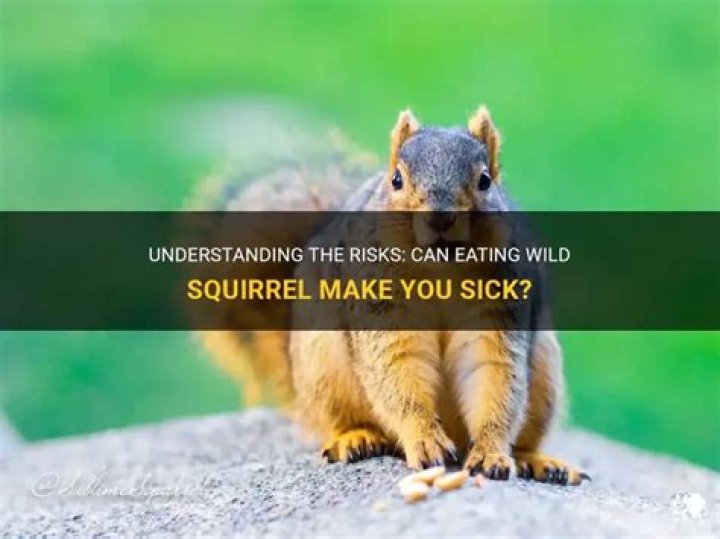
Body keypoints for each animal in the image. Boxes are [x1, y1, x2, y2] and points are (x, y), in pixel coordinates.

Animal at [196, 105, 589, 485]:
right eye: (397, 179)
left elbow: (493, 375)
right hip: (321, 364)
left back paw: (538, 462)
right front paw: (425, 439)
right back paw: (356, 438)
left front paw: (491, 452)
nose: (440, 217)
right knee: (341, 417)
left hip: (545, 373)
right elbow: (398, 372)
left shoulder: (497, 313)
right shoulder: (382, 309)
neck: (440, 274)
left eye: (485, 181)